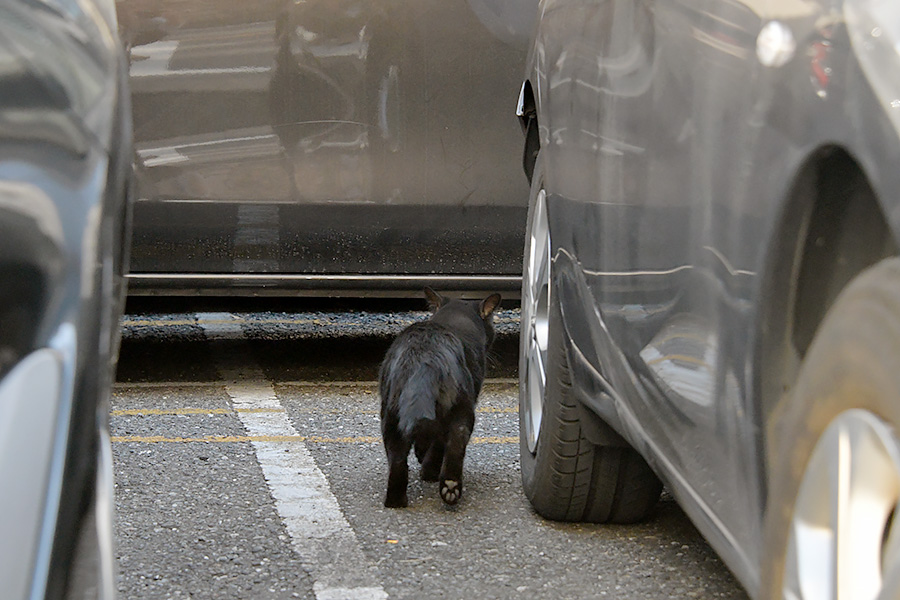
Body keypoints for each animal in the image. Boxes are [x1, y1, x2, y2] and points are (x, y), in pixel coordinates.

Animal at [380, 286, 502, 506]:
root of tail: (425, 359)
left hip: (391, 414)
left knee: (398, 460)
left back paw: (397, 501)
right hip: (461, 408)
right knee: (452, 443)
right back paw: (445, 483)